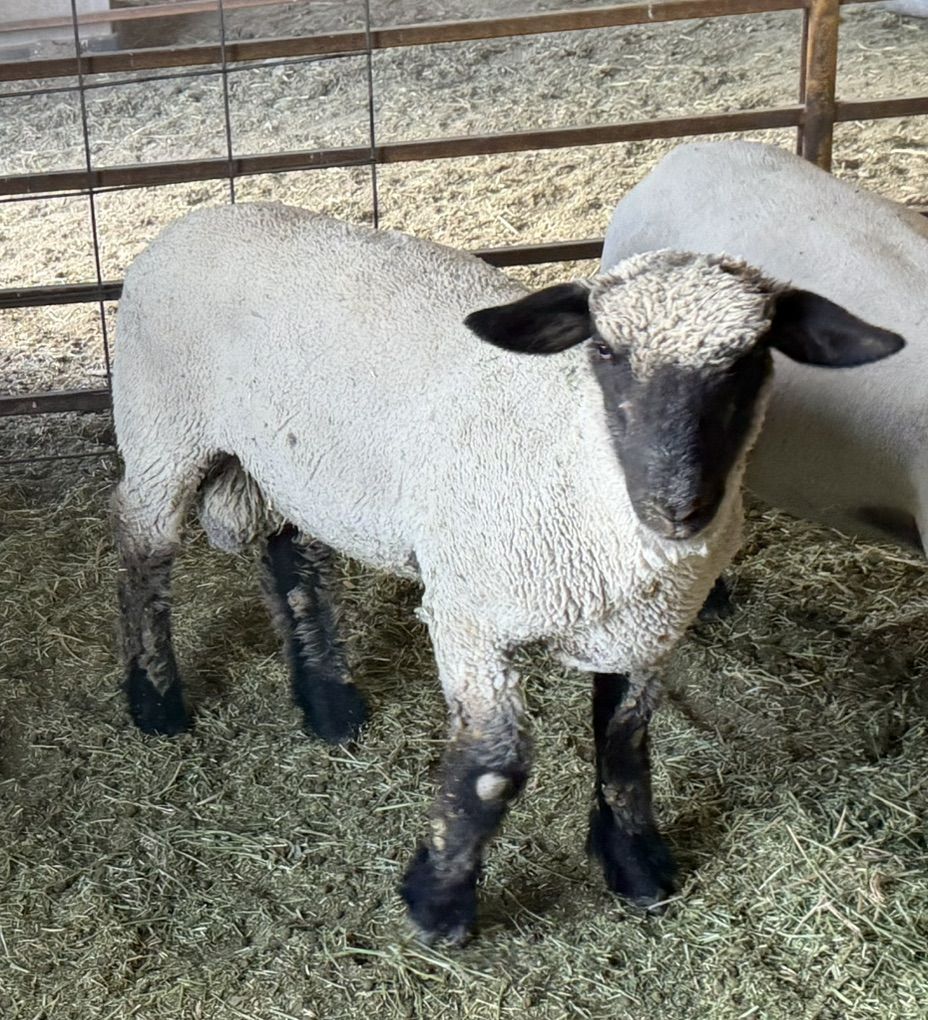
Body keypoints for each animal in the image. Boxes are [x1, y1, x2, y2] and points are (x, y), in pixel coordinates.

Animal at [112, 203, 902, 943]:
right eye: (605, 349)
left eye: (752, 357)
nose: (676, 505)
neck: (575, 453)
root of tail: (202, 214)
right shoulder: (470, 617)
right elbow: (494, 766)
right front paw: (438, 903)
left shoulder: (644, 631)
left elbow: (625, 743)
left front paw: (636, 864)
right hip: (161, 433)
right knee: (143, 547)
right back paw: (156, 700)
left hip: (286, 465)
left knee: (290, 553)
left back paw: (328, 702)